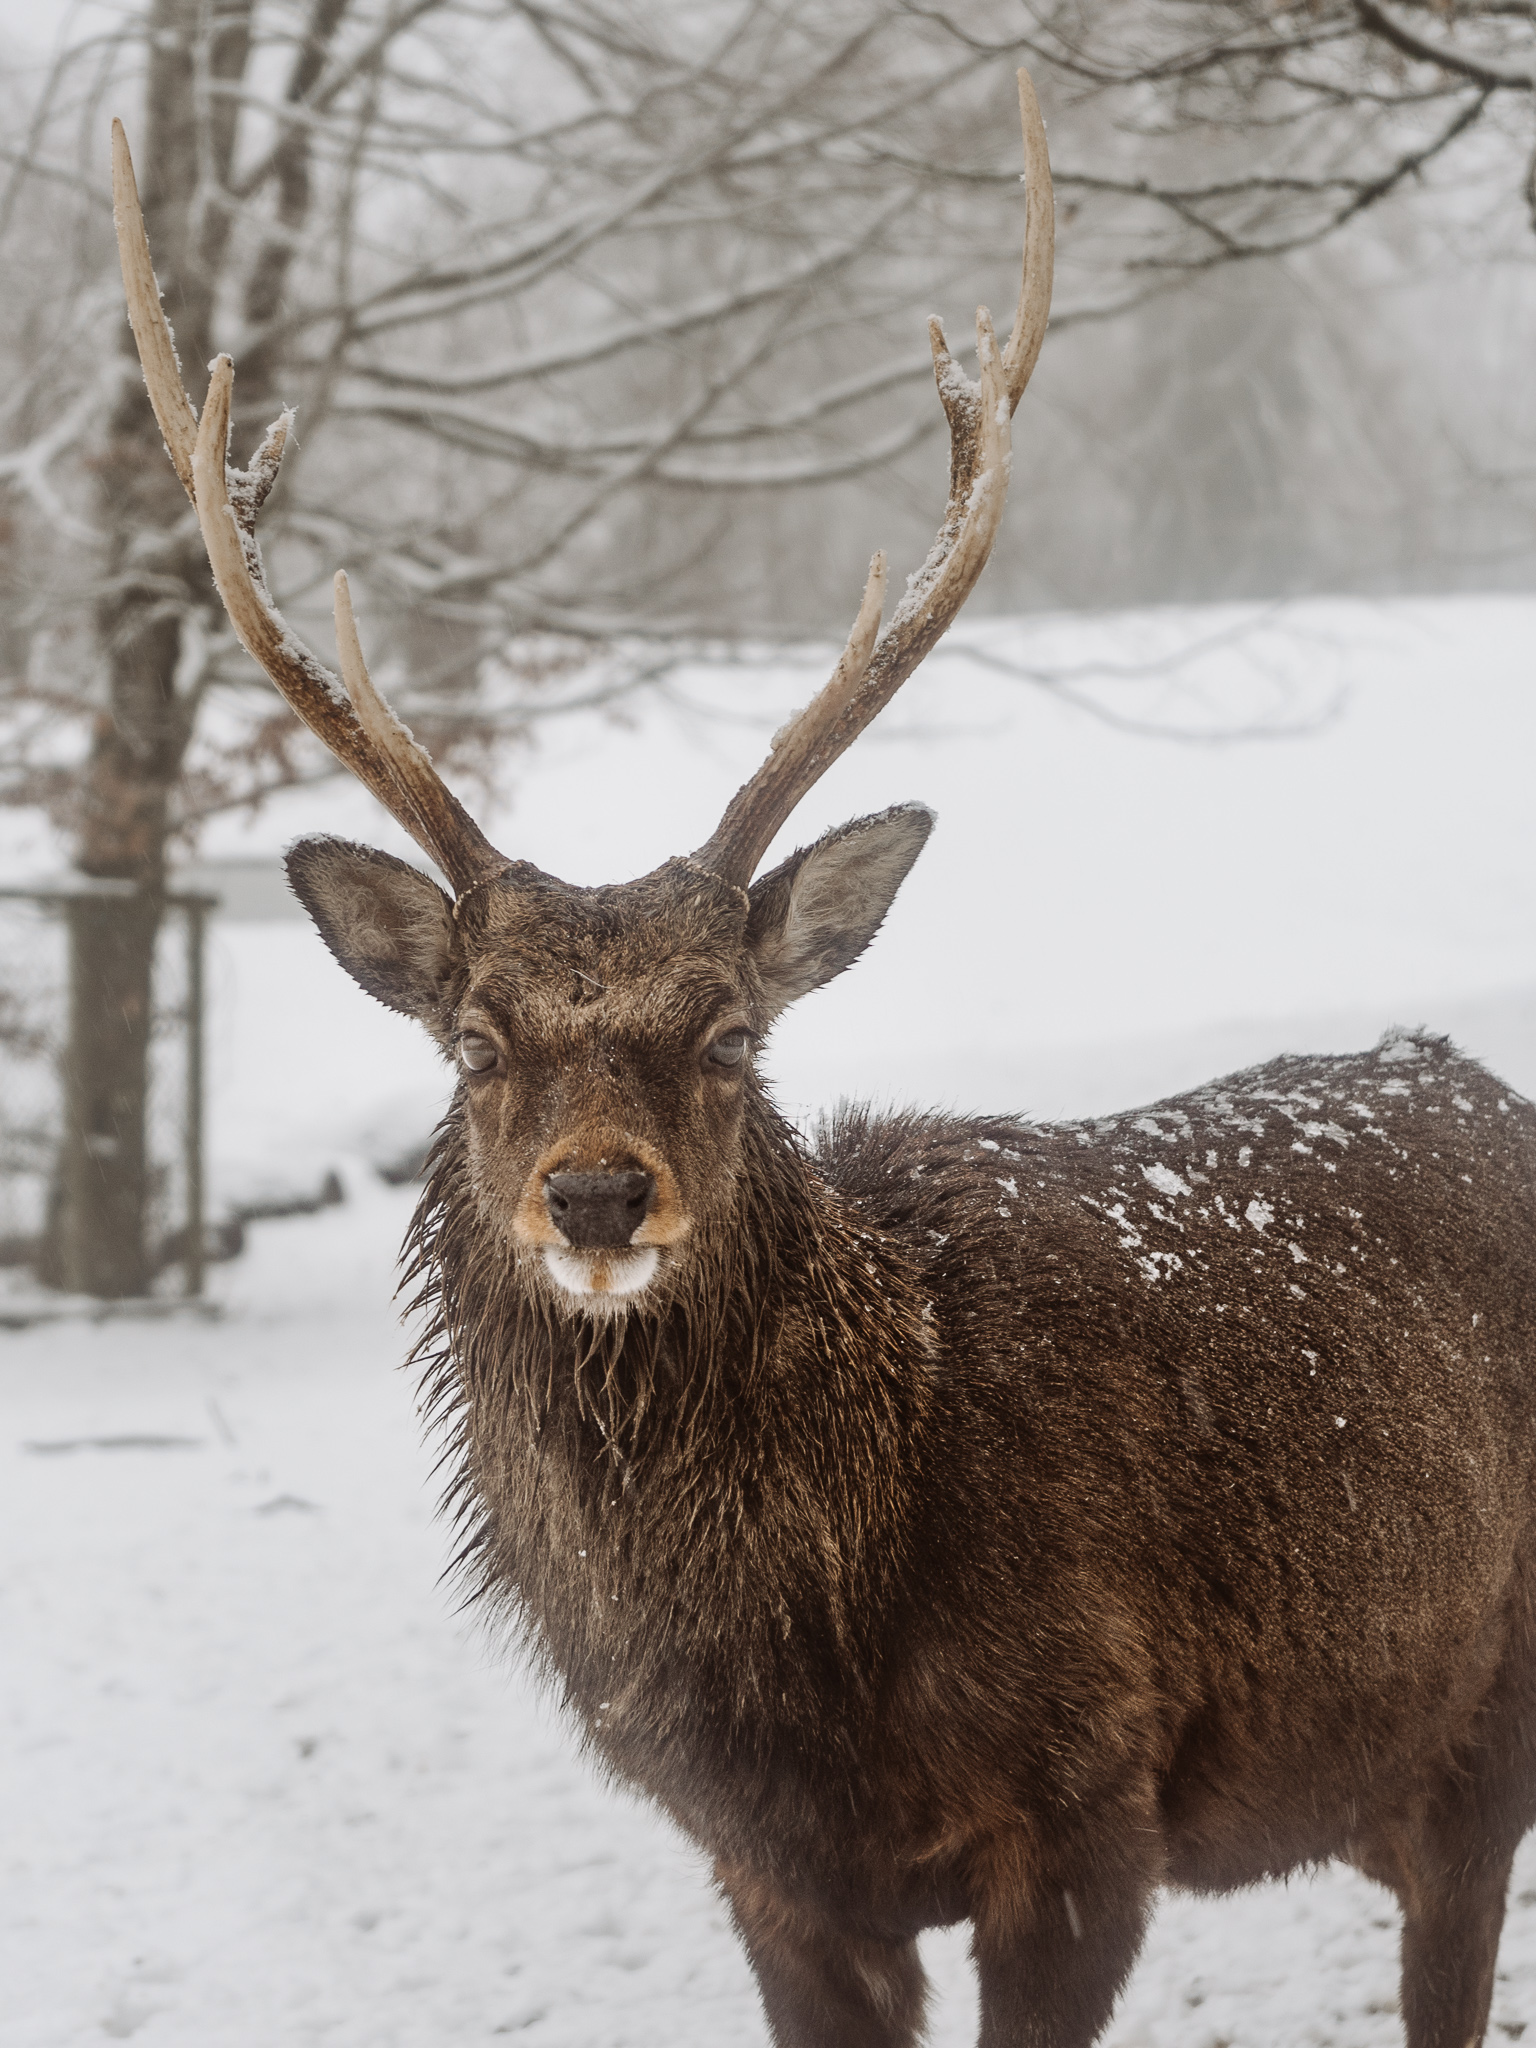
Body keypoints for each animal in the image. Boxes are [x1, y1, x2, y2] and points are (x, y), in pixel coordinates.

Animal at [111, 79, 1536, 2048]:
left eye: (731, 1031)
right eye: (475, 1038)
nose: (598, 1193)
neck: (806, 1664)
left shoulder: (1086, 1807)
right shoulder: (763, 1870)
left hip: (1482, 1731)